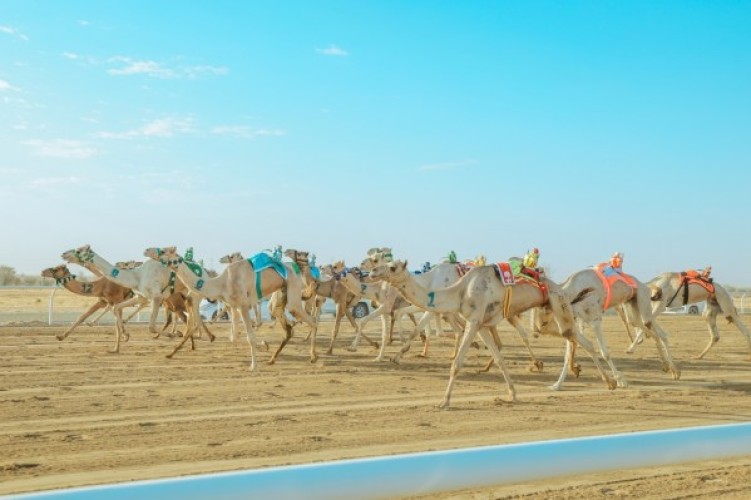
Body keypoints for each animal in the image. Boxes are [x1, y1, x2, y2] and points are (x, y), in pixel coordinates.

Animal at [147, 246, 320, 368]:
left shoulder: (243, 304)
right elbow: (234, 337)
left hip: (293, 293)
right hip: (281, 297)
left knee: (311, 321)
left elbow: (249, 336)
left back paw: (313, 356)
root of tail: (296, 270)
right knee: (290, 328)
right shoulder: (234, 306)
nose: (146, 250)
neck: (221, 283)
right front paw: (264, 346)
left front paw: (253, 366)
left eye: (164, 250)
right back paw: (274, 359)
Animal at [374, 260, 592, 408]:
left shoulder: (474, 321)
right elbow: (500, 359)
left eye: (392, 267)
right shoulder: (482, 326)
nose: (373, 272)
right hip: (549, 313)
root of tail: (562, 287)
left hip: (557, 303)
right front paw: (512, 394)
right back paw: (579, 373)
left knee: (576, 338)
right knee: (577, 338)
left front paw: (444, 401)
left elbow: (456, 364)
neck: (460, 291)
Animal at [532, 262, 684, 390]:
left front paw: (620, 380)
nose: (537, 330)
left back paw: (673, 369)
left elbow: (604, 352)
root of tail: (647, 285)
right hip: (631, 310)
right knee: (647, 328)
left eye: (545, 319)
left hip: (643, 301)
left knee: (656, 331)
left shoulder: (595, 319)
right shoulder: (574, 320)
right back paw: (669, 368)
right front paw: (556, 385)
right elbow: (568, 356)